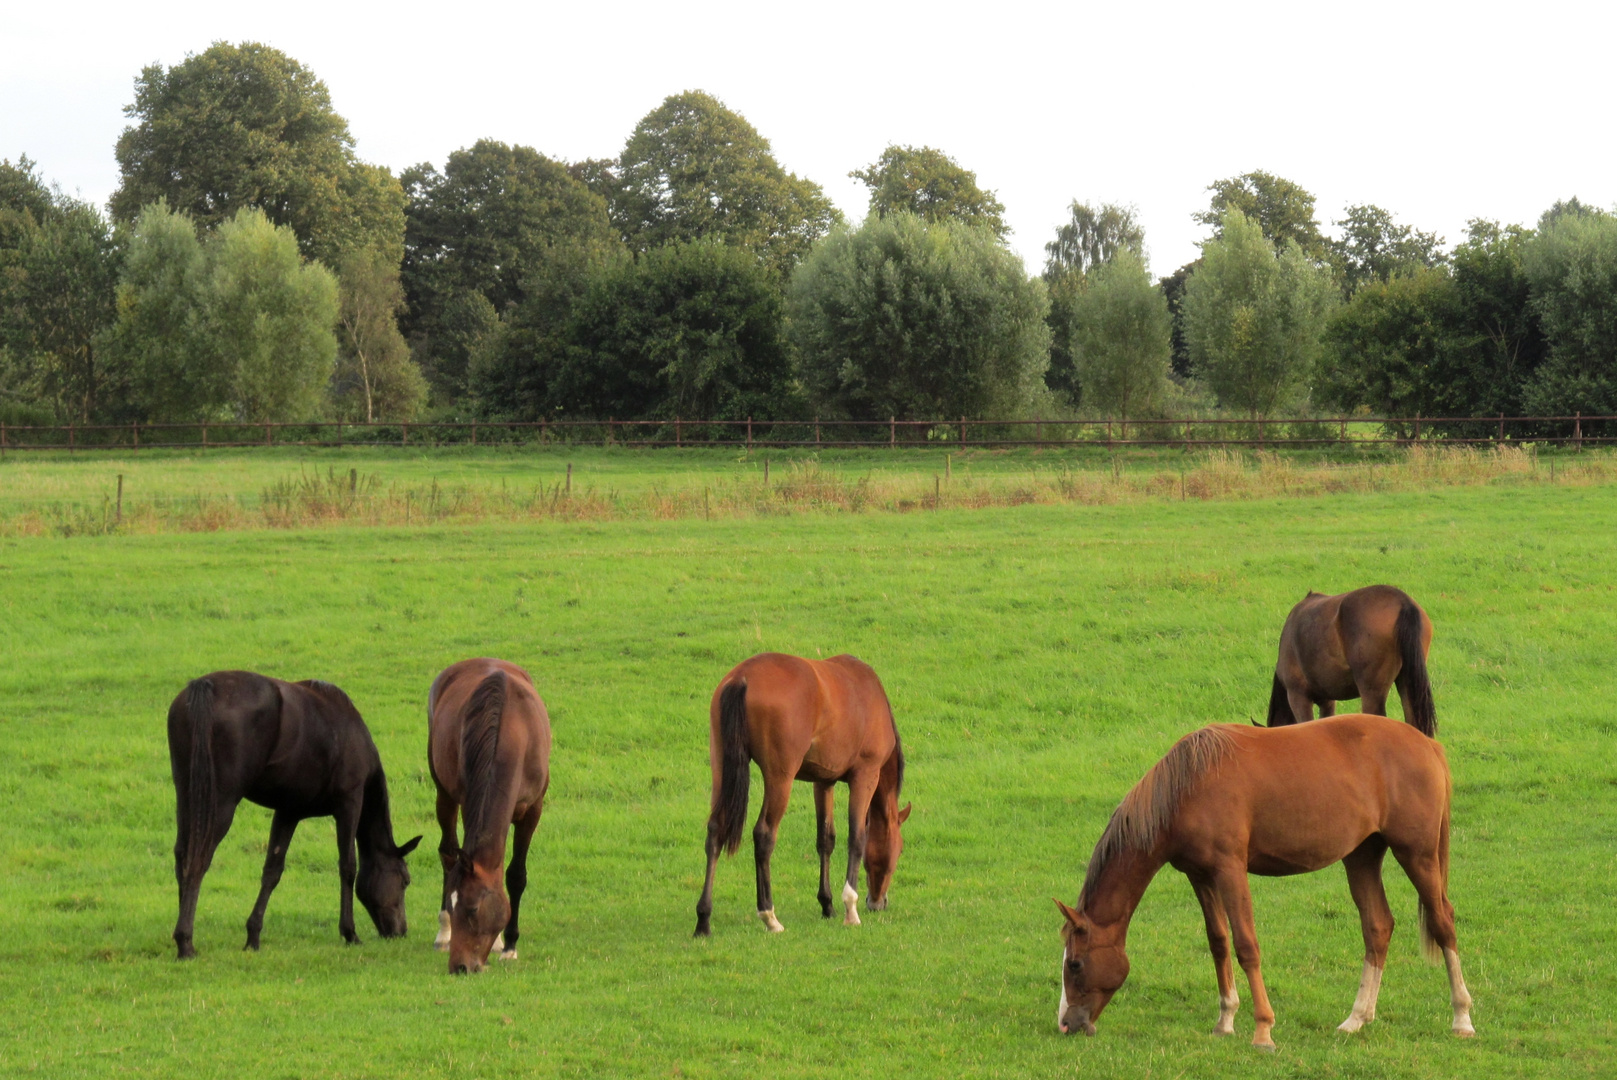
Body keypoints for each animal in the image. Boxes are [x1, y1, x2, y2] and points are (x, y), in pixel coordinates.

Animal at [165, 669, 423, 957]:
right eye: (405, 881)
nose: (400, 931)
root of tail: (204, 685)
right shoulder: (349, 804)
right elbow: (348, 867)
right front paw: (349, 932)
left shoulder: (288, 812)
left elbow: (272, 871)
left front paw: (253, 936)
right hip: (220, 804)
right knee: (199, 860)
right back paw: (185, 941)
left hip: (187, 795)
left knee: (182, 855)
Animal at [426, 653, 553, 976]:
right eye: (455, 907)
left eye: (472, 909)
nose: (459, 967)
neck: (513, 732)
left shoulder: (533, 810)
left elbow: (515, 875)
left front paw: (509, 945)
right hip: (444, 793)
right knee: (447, 852)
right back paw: (442, 933)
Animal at [692, 649, 911, 937]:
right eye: (900, 850)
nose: (877, 902)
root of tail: (742, 677)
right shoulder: (865, 775)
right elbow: (857, 838)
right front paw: (849, 909)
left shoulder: (824, 781)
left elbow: (825, 840)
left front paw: (827, 905)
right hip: (780, 779)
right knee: (764, 835)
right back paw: (769, 916)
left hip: (720, 766)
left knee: (715, 831)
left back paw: (703, 919)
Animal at [1054, 711, 1474, 1047]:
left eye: (1074, 964)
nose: (1066, 1024)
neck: (1189, 784)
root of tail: (1427, 744)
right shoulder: (1200, 876)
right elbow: (1219, 942)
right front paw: (1225, 1020)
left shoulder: (1230, 871)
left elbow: (1246, 946)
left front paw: (1263, 1030)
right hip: (1362, 858)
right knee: (1378, 927)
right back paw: (1357, 1018)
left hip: (1417, 855)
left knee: (1443, 922)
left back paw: (1462, 1018)